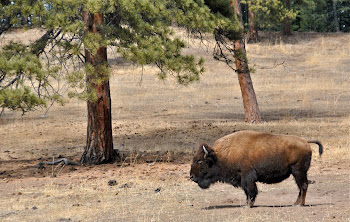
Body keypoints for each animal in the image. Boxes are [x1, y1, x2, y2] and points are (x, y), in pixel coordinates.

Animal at [190, 131, 324, 207]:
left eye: (200, 161)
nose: (191, 176)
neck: (221, 155)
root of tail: (305, 141)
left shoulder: (247, 177)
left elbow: (251, 190)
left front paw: (249, 205)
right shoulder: (243, 179)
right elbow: (247, 192)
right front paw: (246, 203)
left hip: (298, 171)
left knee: (303, 185)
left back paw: (300, 204)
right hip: (296, 173)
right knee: (301, 186)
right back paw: (296, 203)